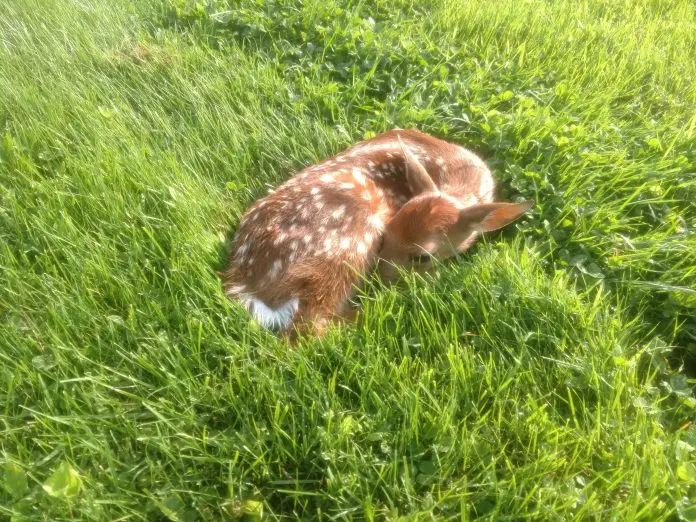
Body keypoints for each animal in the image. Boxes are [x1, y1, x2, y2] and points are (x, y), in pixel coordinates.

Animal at [223, 128, 532, 340]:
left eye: (421, 257)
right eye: (386, 237)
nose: (379, 281)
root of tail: (245, 281)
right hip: (345, 243)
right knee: (308, 329)